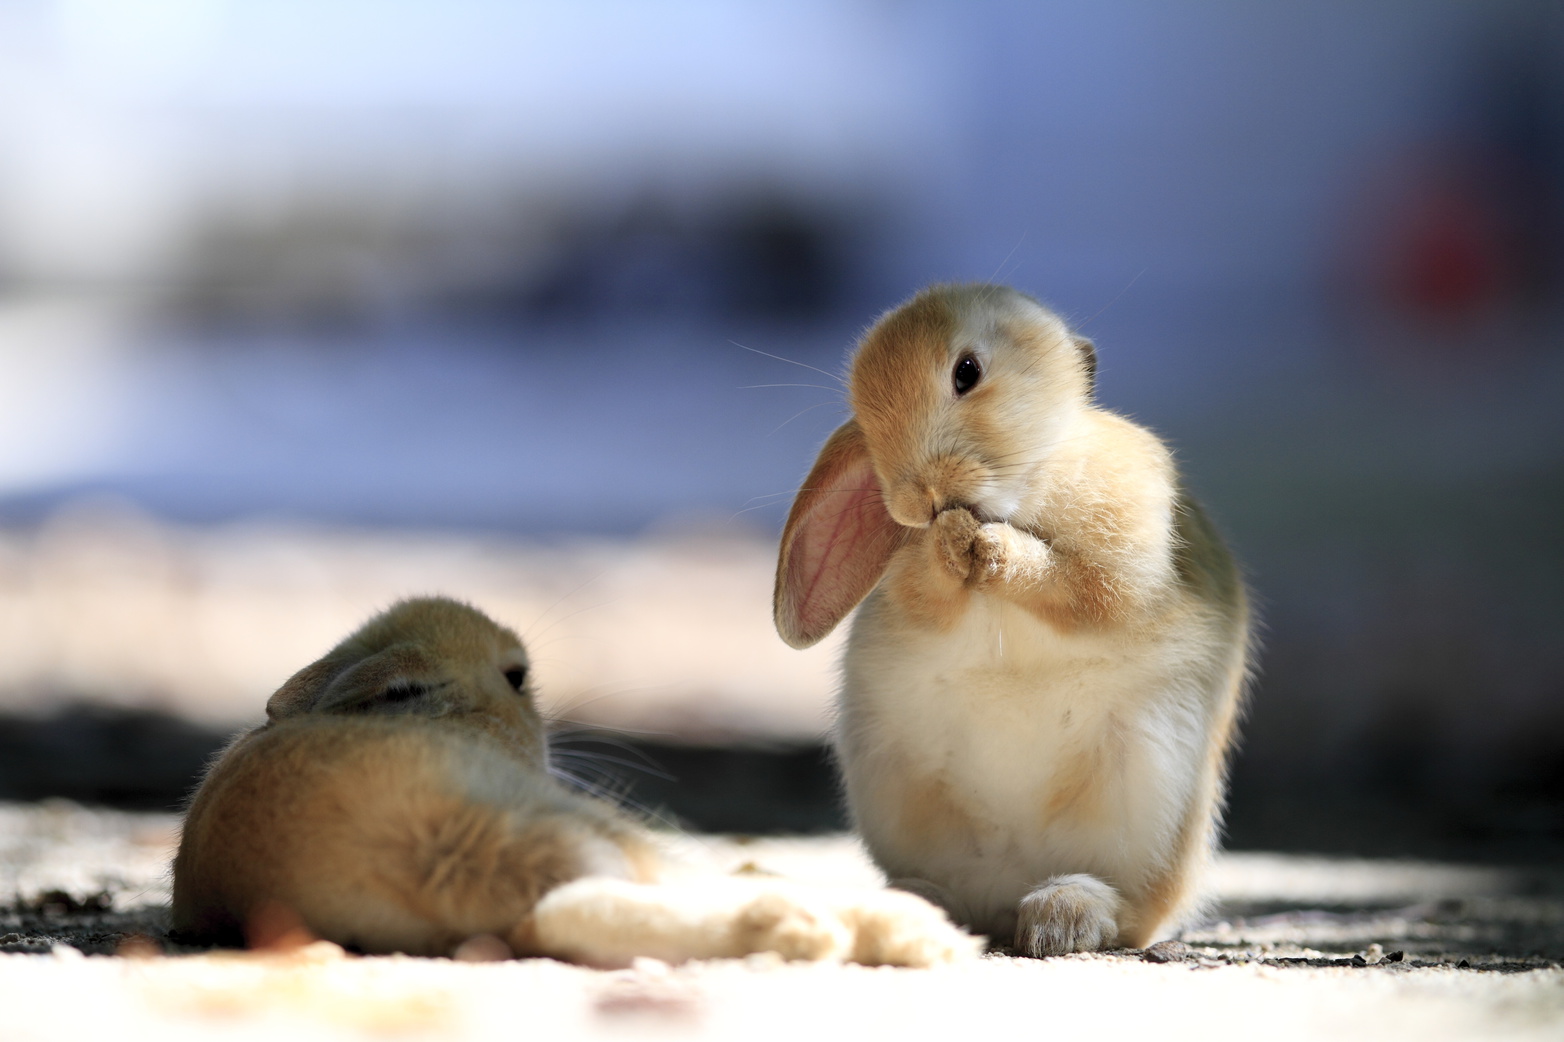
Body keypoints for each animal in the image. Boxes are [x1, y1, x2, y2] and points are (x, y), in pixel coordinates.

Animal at [775, 280, 1251, 951]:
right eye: (864, 416)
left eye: (967, 372)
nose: (918, 498)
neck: (1019, 489)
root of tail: (1008, 880)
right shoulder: (918, 591)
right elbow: (932, 592)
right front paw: (951, 545)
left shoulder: (1117, 561)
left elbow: (1074, 584)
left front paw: (989, 547)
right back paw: (919, 905)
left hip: (1149, 787)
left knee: (1129, 908)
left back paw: (1064, 916)